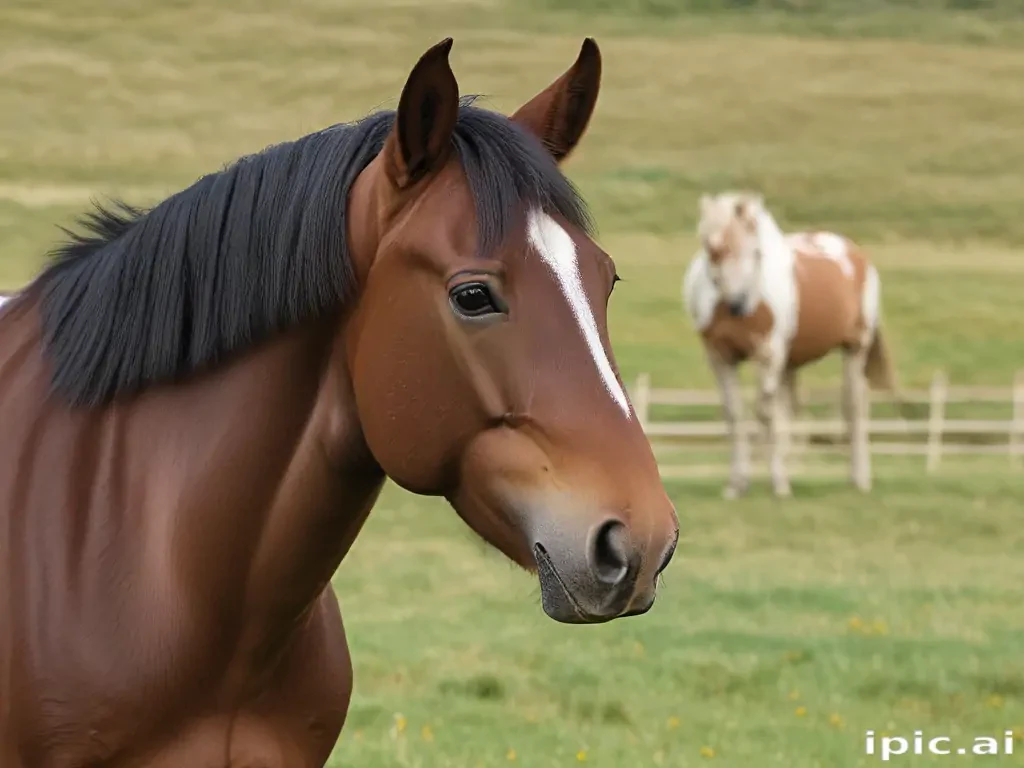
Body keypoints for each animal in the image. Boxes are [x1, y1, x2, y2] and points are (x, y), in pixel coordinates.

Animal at [682, 191, 901, 499]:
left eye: (757, 252)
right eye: (711, 249)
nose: (738, 304)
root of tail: (857, 255)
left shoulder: (768, 355)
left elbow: (766, 415)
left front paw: (778, 483)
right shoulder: (720, 358)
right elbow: (736, 415)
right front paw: (737, 484)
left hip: (855, 348)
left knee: (854, 408)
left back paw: (858, 479)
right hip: (790, 364)